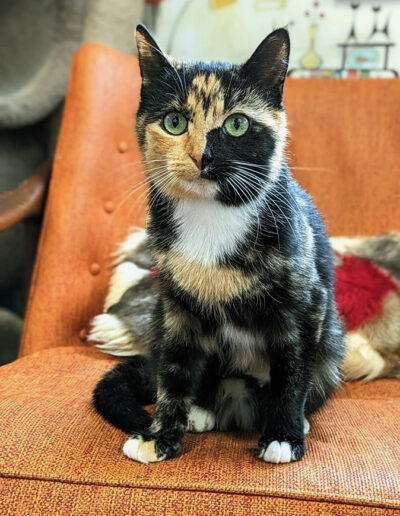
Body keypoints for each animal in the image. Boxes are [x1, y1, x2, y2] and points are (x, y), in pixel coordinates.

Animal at [94, 25, 344, 464]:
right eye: (174, 122)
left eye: (237, 124)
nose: (202, 156)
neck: (211, 216)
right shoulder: (175, 304)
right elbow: (173, 371)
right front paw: (159, 435)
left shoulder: (306, 300)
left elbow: (293, 370)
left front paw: (283, 436)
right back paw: (201, 409)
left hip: (331, 343)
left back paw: (296, 421)